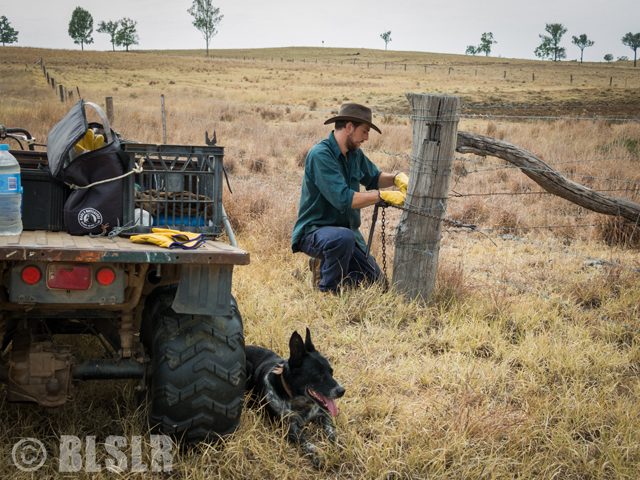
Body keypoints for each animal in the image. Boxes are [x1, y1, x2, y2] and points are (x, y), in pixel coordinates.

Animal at [245, 330, 344, 464]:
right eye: (319, 375)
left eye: (331, 372)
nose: (342, 391)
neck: (298, 401)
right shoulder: (288, 426)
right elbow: (303, 439)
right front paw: (316, 453)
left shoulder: (325, 414)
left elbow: (331, 431)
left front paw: (338, 444)